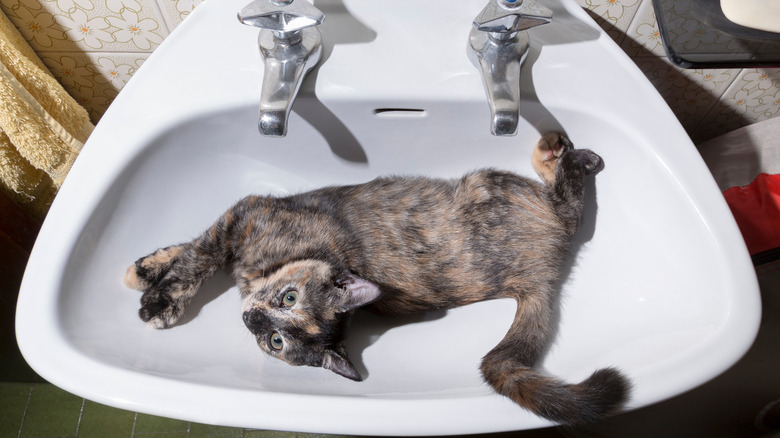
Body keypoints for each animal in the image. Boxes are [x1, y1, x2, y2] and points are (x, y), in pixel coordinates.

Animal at [125, 133, 632, 424]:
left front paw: (158, 302)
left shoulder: (246, 213)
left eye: (276, 341)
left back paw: (568, 156)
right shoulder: (240, 221)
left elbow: (196, 259)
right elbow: (193, 249)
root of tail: (543, 275)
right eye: (287, 301)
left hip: (487, 182)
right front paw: (144, 270)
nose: (254, 320)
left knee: (567, 206)